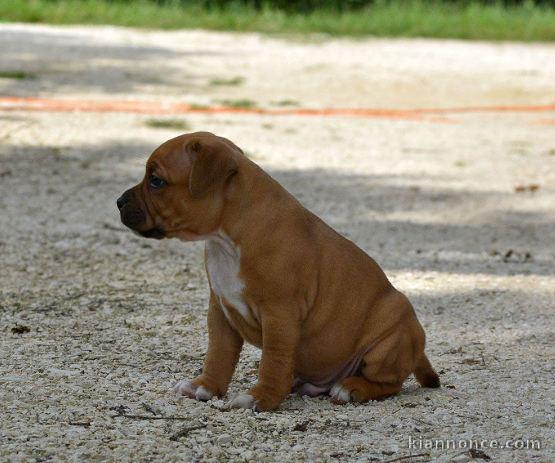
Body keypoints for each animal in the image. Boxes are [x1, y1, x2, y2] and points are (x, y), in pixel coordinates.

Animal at [117, 132, 438, 412]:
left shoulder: (279, 316)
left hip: (387, 340)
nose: (118, 201)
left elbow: (273, 361)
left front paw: (261, 398)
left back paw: (352, 388)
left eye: (156, 181)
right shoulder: (220, 310)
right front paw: (204, 387)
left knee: (390, 383)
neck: (227, 238)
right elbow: (217, 354)